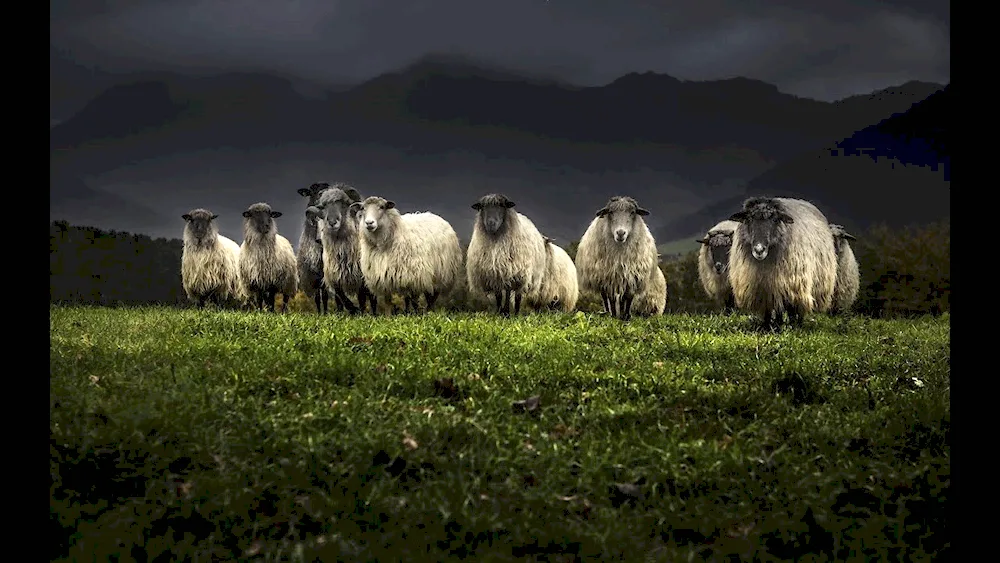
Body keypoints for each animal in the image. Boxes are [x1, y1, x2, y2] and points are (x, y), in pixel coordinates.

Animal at [728, 198, 836, 330]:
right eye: (749, 219)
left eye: (775, 220)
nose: (759, 249)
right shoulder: (765, 289)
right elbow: (769, 309)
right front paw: (767, 327)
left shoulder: (789, 283)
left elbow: (787, 309)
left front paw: (782, 326)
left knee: (798, 308)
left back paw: (797, 325)